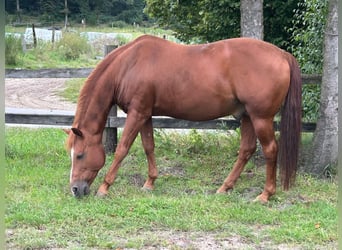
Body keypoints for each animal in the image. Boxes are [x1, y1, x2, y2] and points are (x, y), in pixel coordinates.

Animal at [63, 34, 300, 203]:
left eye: (80, 155)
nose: (75, 189)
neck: (129, 64)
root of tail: (282, 54)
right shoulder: (145, 114)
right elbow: (149, 146)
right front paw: (150, 183)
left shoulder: (137, 113)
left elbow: (122, 149)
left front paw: (105, 187)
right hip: (248, 116)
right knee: (246, 150)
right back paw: (225, 187)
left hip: (261, 117)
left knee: (270, 150)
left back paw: (265, 195)